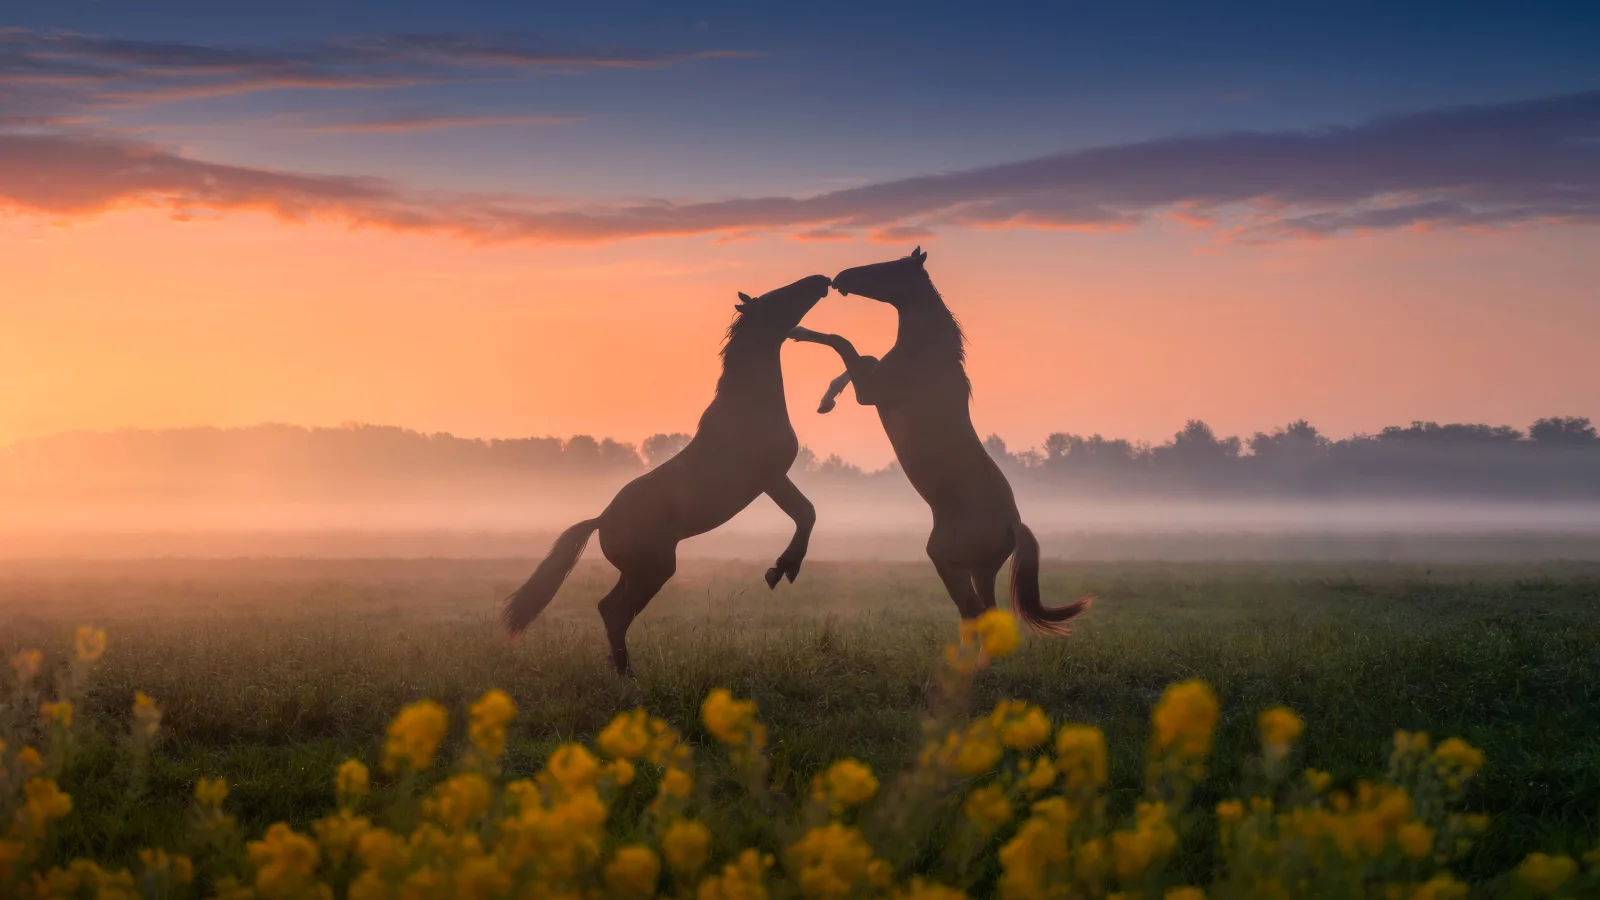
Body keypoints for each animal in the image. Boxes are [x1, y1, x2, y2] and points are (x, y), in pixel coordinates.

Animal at [503, 274, 833, 675]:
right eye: (776, 298)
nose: (821, 280)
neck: (750, 406)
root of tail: (601, 520)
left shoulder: (776, 479)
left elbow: (806, 512)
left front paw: (781, 568)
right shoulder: (771, 477)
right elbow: (806, 513)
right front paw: (783, 568)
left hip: (636, 572)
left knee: (607, 608)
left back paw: (623, 670)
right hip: (654, 570)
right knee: (616, 614)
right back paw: (629, 676)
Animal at [788, 248, 1088, 633]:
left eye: (889, 268)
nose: (839, 278)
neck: (926, 358)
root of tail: (1013, 525)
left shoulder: (870, 394)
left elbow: (844, 343)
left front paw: (797, 331)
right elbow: (862, 355)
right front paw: (826, 401)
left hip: (948, 561)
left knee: (973, 611)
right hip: (981, 570)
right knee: (986, 614)